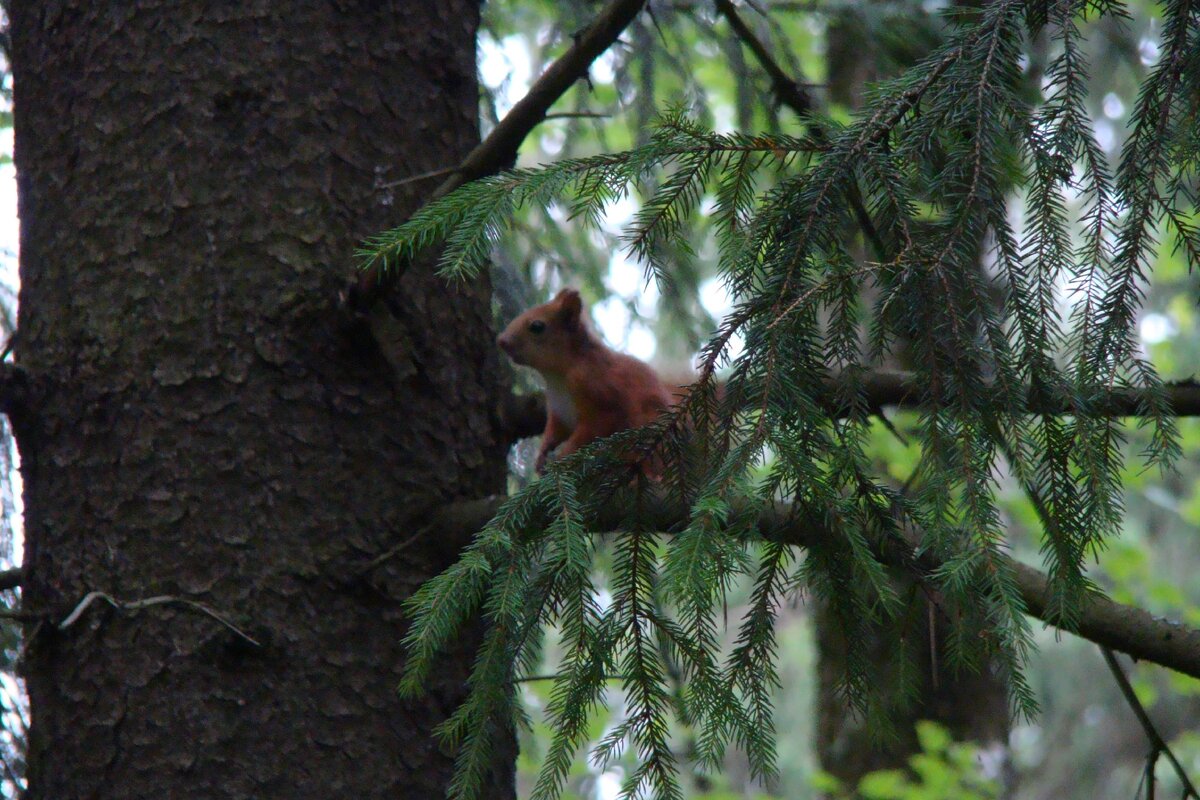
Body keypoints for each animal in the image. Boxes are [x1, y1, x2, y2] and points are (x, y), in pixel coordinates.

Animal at [492, 289, 672, 472]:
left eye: (537, 326)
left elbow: (590, 432)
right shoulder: (558, 413)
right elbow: (553, 432)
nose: (501, 341)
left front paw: (562, 458)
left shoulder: (598, 396)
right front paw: (541, 457)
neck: (557, 376)